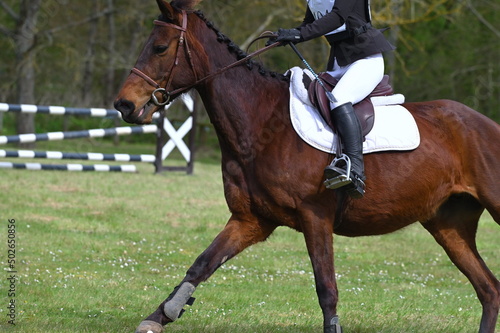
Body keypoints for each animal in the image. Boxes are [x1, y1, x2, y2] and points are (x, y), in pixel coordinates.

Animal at [114, 1, 500, 330]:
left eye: (160, 48)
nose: (124, 105)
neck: (262, 123)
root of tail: (487, 124)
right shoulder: (251, 220)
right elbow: (201, 264)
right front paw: (160, 315)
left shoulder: (316, 217)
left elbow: (326, 288)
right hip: (449, 224)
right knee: (489, 289)